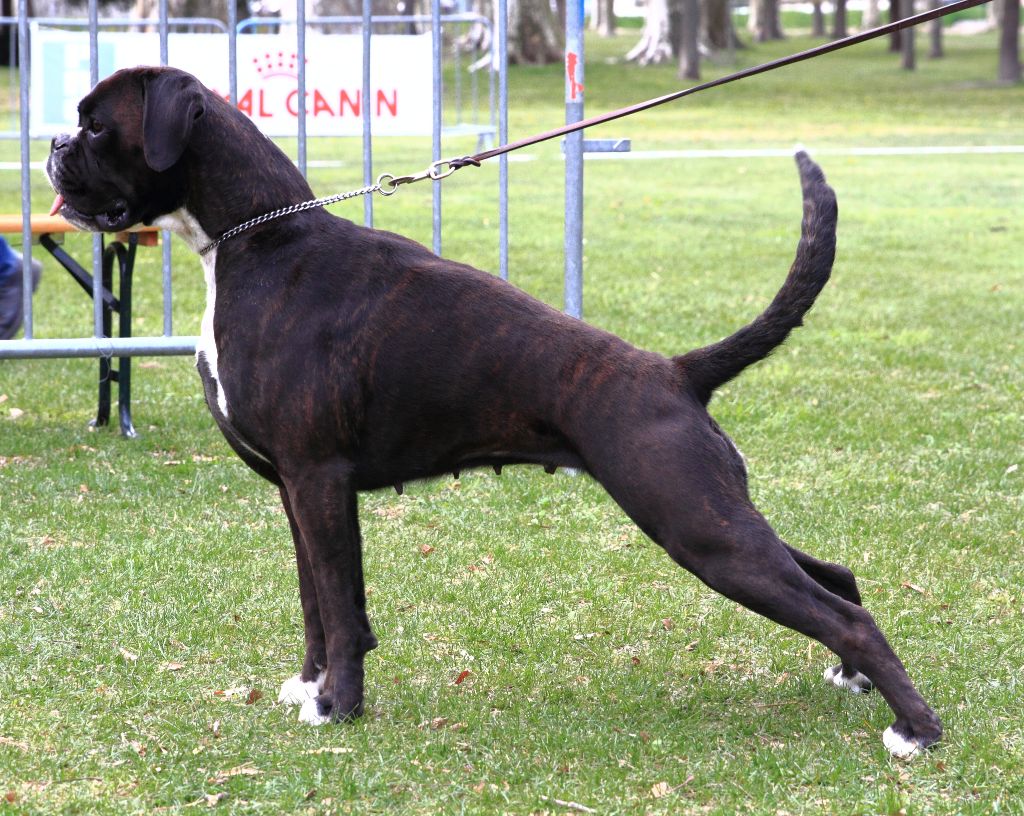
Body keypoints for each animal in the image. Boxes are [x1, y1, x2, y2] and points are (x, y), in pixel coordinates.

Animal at [48, 65, 942, 757]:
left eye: (96, 125)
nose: (54, 147)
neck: (256, 240)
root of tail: (674, 372)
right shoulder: (294, 492)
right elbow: (314, 602)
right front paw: (309, 688)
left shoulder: (319, 481)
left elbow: (339, 605)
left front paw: (340, 707)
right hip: (712, 514)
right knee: (838, 580)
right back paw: (853, 681)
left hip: (696, 525)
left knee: (843, 613)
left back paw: (918, 732)